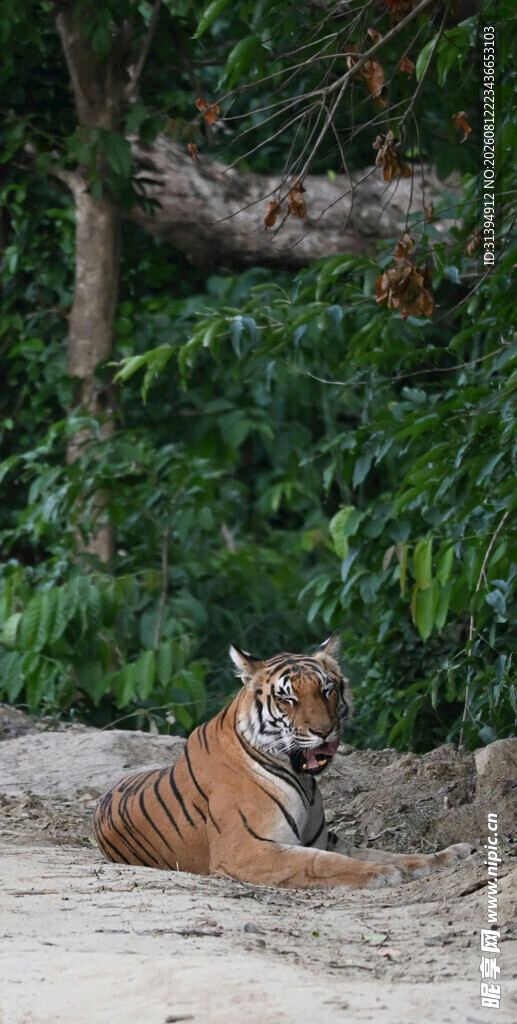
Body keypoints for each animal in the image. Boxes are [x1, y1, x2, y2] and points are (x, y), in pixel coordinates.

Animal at [92, 632, 473, 888]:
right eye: (288, 699)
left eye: (326, 690)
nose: (325, 731)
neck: (302, 779)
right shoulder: (247, 849)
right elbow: (322, 864)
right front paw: (381, 874)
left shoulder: (324, 839)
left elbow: (383, 852)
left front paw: (449, 855)